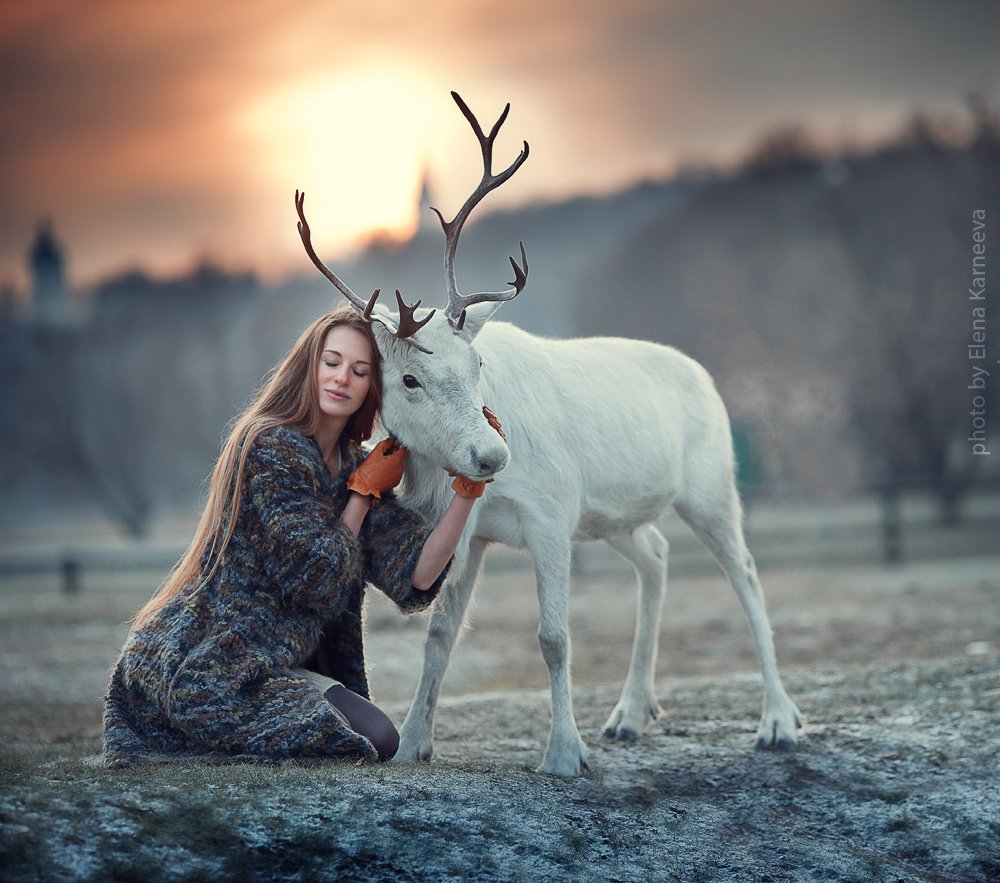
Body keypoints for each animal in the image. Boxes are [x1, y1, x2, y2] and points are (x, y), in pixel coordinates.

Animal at [295, 92, 803, 777]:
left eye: (477, 364)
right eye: (408, 378)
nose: (491, 455)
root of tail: (706, 377)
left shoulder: (553, 513)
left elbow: (555, 637)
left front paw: (563, 753)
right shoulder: (471, 533)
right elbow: (440, 632)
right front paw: (416, 742)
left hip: (712, 486)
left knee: (745, 573)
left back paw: (778, 721)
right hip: (614, 517)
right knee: (657, 556)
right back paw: (630, 713)